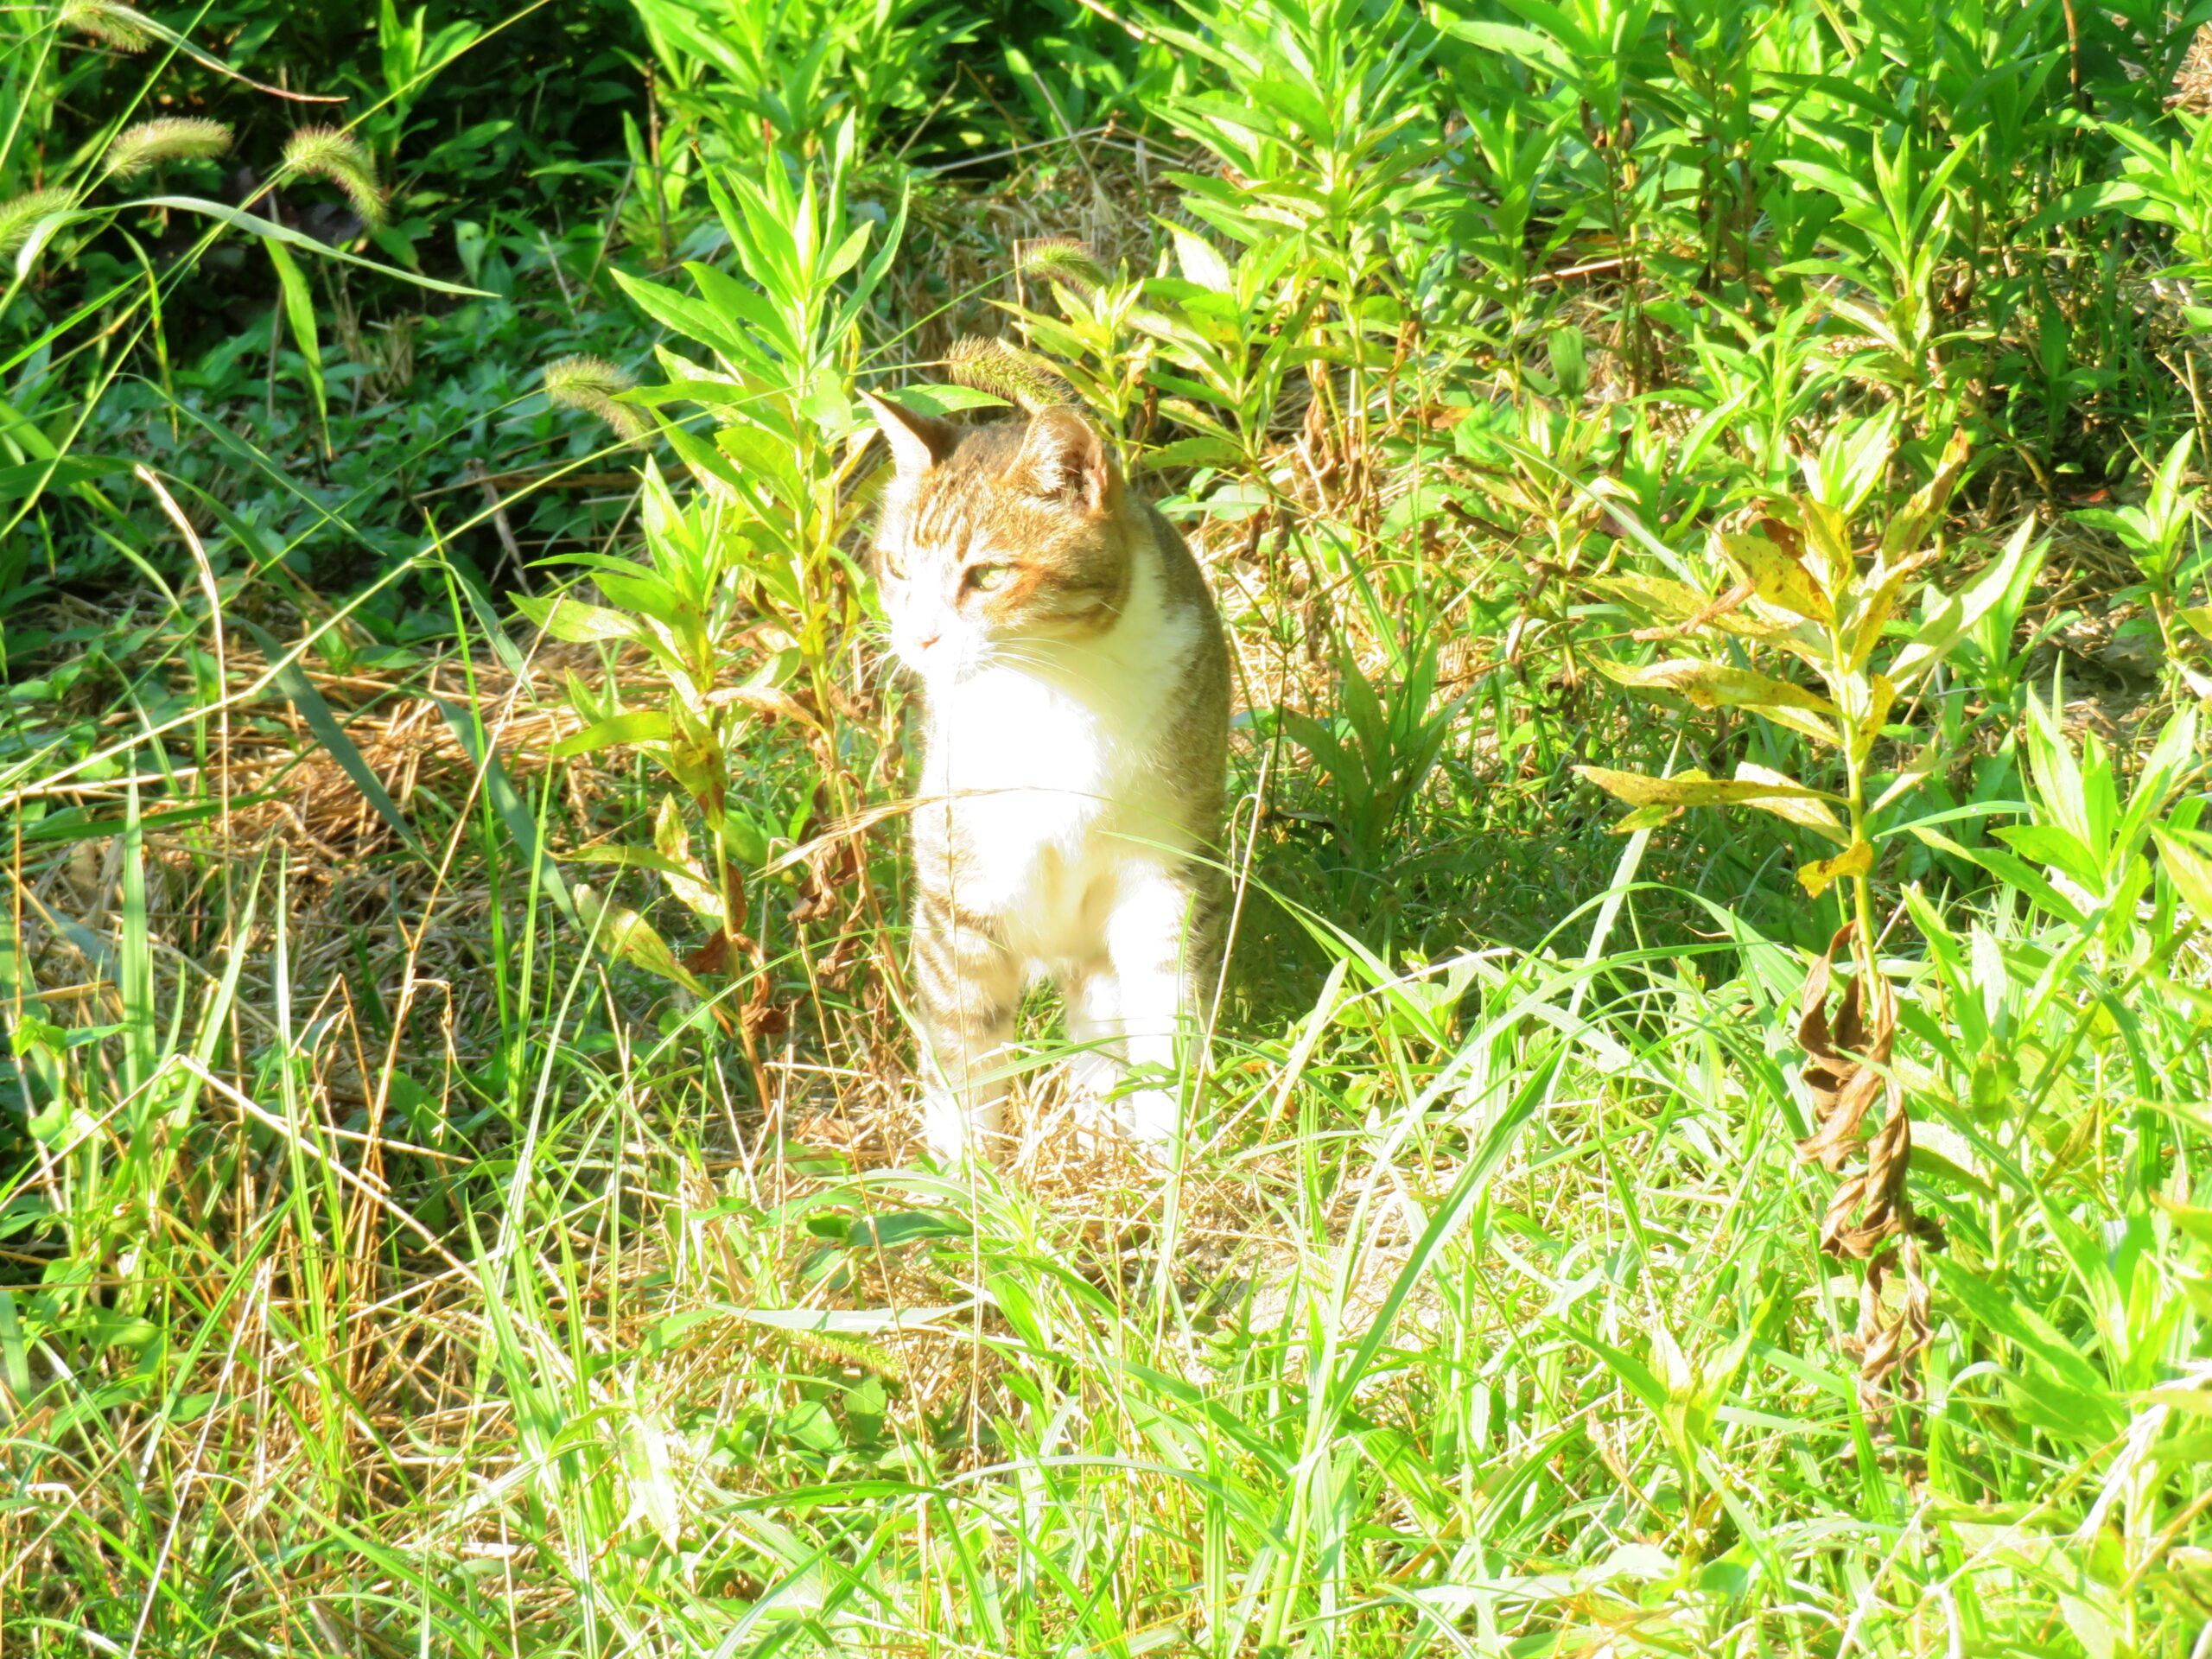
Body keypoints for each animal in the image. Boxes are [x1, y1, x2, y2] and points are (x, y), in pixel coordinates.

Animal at [862, 396, 1238, 1159]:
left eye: (989, 575)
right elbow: (964, 1055)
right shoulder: (960, 887)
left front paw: (1171, 1151)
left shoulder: (1167, 876)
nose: (918, 639)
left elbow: (1168, 1022)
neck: (1053, 685)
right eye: (898, 567)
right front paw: (965, 1176)